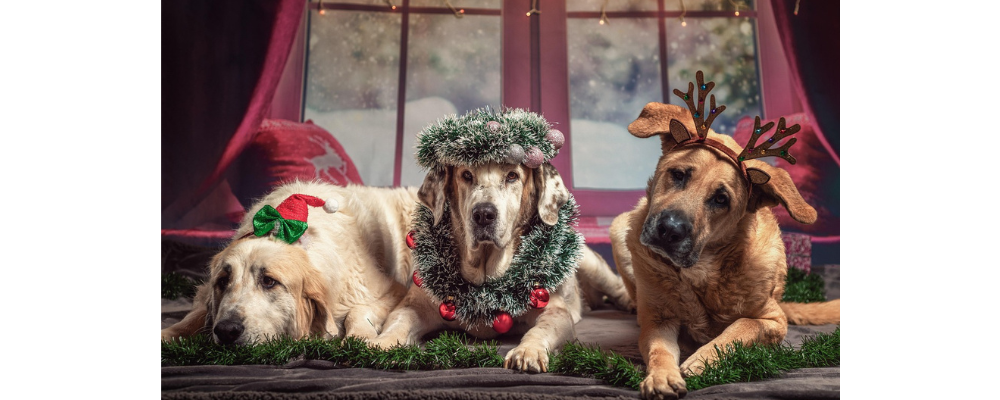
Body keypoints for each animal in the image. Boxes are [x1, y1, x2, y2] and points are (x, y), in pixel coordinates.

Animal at [161, 180, 419, 345]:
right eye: (223, 281)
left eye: (269, 281)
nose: (226, 330)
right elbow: (193, 316)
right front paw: (167, 334)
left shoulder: (390, 292)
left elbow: (357, 311)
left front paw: (361, 337)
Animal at [370, 161, 633, 372]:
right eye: (466, 175)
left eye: (512, 176)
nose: (484, 213)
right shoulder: (415, 305)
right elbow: (399, 321)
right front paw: (381, 343)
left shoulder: (555, 311)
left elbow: (541, 329)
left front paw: (527, 351)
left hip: (589, 262)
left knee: (616, 285)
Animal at [610, 100, 840, 399]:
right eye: (678, 175)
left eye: (721, 199)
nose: (669, 230)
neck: (703, 271)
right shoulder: (658, 321)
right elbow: (659, 350)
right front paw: (661, 376)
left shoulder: (774, 321)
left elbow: (742, 327)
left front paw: (703, 358)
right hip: (619, 229)